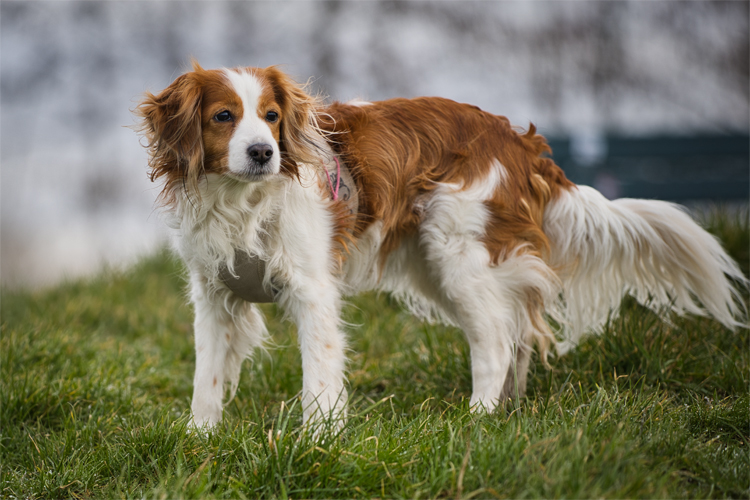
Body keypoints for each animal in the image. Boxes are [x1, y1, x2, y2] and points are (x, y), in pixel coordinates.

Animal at [138, 61, 748, 430]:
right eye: (223, 116)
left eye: (270, 117)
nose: (264, 152)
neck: (241, 203)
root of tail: (521, 143)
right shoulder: (214, 298)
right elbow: (207, 378)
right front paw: (199, 439)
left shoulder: (312, 292)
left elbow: (319, 377)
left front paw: (316, 440)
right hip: (439, 264)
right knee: (516, 335)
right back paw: (505, 412)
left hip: (458, 256)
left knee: (497, 342)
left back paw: (476, 420)